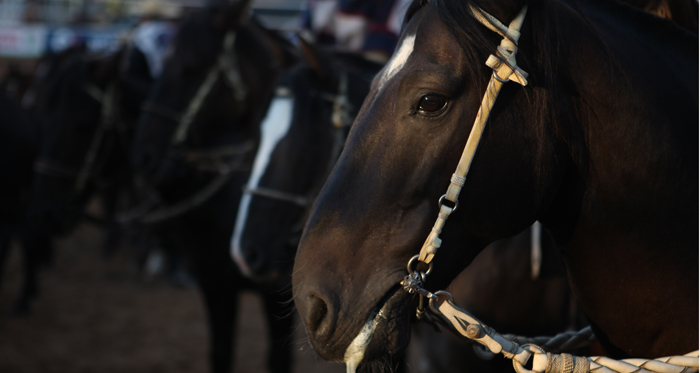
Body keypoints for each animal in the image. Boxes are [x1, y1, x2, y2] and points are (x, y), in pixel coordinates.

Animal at [131, 1, 298, 370]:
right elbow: (220, 352)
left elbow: (279, 359)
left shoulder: (278, 295)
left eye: (190, 67)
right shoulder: (214, 282)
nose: (143, 156)